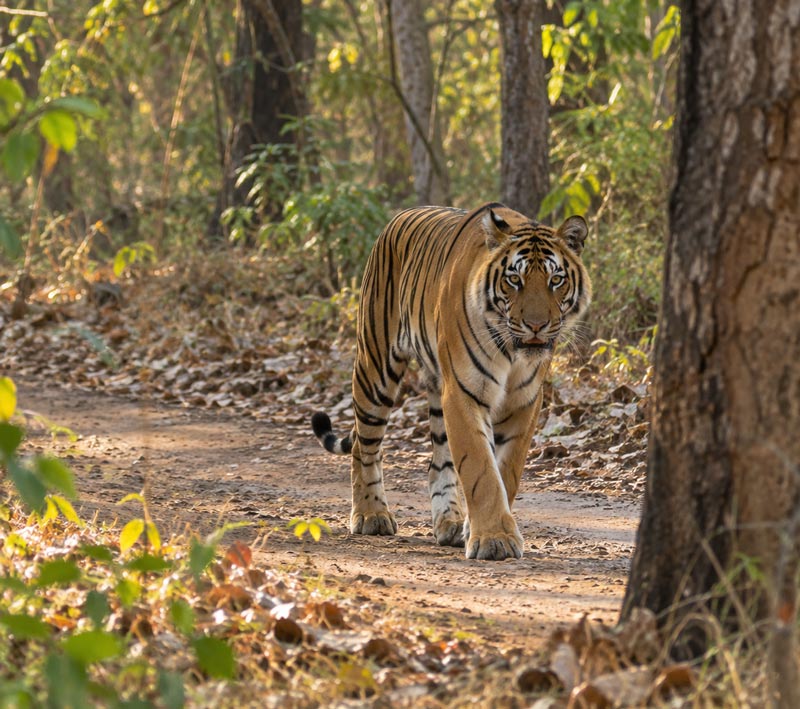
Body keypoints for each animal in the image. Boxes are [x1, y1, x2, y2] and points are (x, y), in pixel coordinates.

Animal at [311, 202, 591, 560]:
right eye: (514, 280)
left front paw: (479, 529)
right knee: (364, 444)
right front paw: (494, 539)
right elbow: (481, 469)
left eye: (556, 280)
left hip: (435, 386)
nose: (536, 326)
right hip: (376, 370)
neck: (512, 353)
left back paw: (450, 524)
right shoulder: (463, 392)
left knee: (436, 464)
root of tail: (399, 216)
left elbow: (506, 471)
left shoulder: (525, 401)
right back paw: (371, 515)